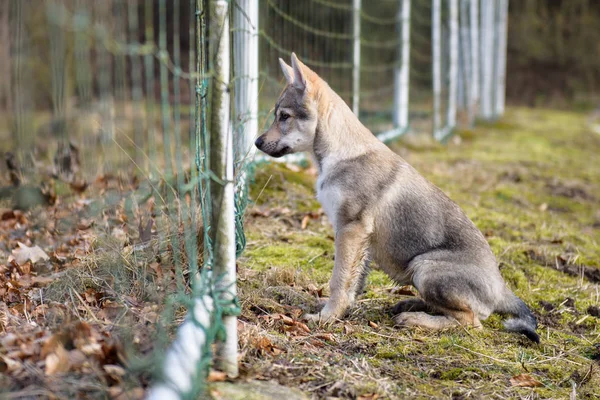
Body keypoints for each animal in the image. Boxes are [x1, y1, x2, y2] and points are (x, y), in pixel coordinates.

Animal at [253, 52, 540, 340]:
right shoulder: (360, 237)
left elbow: (339, 279)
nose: (257, 142)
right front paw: (340, 313)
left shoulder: (351, 229)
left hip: (424, 267)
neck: (340, 154)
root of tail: (502, 290)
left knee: (470, 322)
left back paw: (414, 319)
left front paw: (326, 317)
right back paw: (410, 304)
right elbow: (352, 282)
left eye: (284, 116)